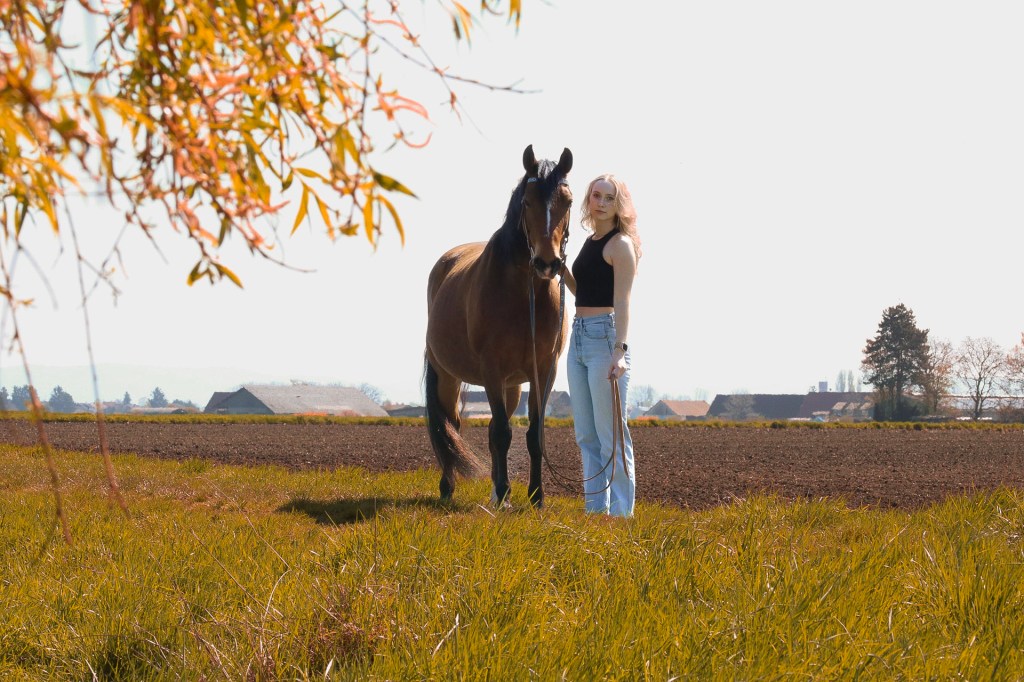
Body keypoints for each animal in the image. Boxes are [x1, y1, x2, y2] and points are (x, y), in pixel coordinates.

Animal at [424, 144, 573, 508]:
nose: (547, 263)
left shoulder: (544, 370)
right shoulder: (491, 368)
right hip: (448, 376)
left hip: (512, 385)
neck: (524, 294)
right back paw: (448, 488)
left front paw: (535, 496)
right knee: (451, 425)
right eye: (527, 201)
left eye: (568, 201)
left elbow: (533, 434)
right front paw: (506, 490)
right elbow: (503, 432)